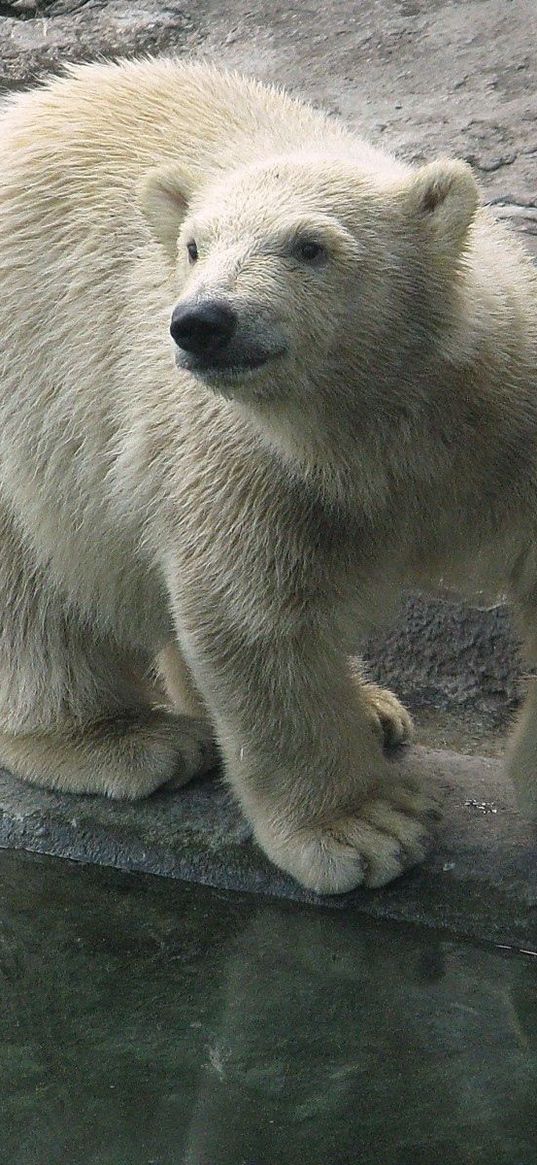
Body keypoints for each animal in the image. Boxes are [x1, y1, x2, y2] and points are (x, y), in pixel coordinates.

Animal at [0, 56, 533, 890]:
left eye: (309, 245)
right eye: (193, 245)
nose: (202, 321)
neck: (385, 417)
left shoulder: (508, 418)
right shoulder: (253, 461)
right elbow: (256, 617)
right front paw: (366, 828)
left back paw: (372, 706)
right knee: (37, 579)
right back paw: (125, 740)